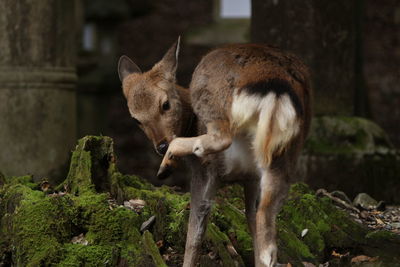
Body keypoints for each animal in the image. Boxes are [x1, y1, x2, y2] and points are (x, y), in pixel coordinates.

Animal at [119, 38, 312, 267]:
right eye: (136, 119)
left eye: (165, 104)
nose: (161, 146)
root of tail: (275, 87)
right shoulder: (251, 179)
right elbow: (251, 224)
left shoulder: (205, 172)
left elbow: (195, 234)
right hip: (284, 156)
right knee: (267, 236)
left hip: (209, 95)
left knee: (221, 138)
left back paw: (169, 160)